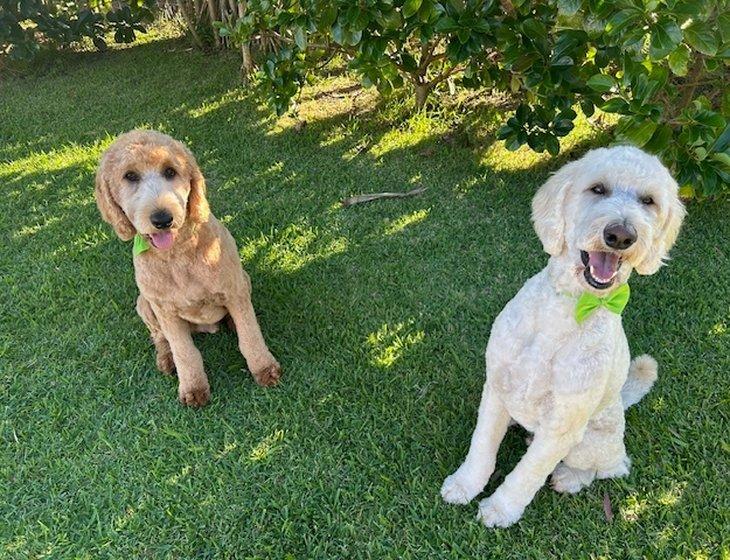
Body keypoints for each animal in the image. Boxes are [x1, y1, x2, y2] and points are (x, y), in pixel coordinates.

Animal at [438, 147, 684, 528]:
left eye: (649, 201)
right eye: (597, 189)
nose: (621, 235)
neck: (568, 308)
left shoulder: (562, 425)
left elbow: (529, 473)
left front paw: (500, 509)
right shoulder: (497, 389)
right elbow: (482, 446)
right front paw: (465, 485)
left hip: (590, 441)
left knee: (612, 467)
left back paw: (570, 478)